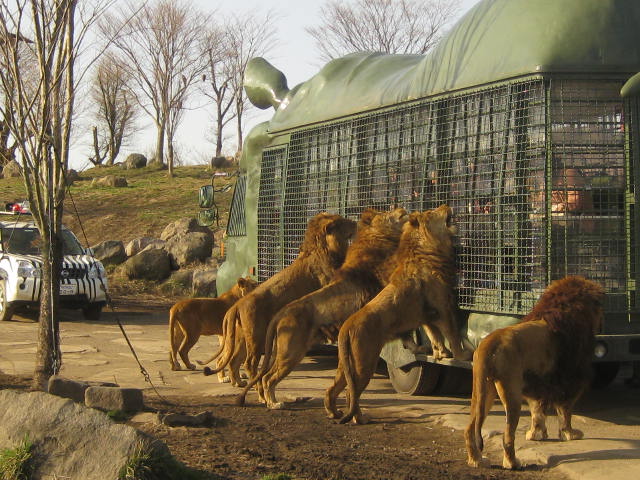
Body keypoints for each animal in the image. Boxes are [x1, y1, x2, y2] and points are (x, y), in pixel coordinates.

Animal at [199, 212, 356, 384]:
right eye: (342, 221)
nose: (355, 222)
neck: (322, 248)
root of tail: (237, 305)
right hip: (257, 336)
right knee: (249, 363)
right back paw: (253, 384)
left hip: (243, 338)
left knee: (233, 361)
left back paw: (239, 383)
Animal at [236, 206, 410, 408]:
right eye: (342, 221)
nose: (401, 208)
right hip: (281, 349)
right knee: (263, 374)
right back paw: (272, 402)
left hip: (278, 349)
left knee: (263, 373)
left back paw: (266, 399)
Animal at [324, 205, 470, 424]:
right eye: (433, 212)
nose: (446, 206)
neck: (425, 251)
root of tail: (346, 327)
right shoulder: (444, 307)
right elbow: (452, 335)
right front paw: (461, 356)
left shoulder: (427, 315)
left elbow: (434, 335)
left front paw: (440, 353)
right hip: (365, 362)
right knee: (352, 392)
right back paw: (359, 419)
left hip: (347, 365)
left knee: (334, 389)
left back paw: (336, 414)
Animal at [464, 276, 604, 470]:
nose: (602, 322)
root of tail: (489, 342)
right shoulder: (570, 380)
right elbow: (565, 411)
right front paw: (569, 434)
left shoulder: (537, 384)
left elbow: (537, 410)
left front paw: (536, 434)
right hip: (511, 391)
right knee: (507, 435)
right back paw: (512, 463)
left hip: (484, 390)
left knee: (469, 429)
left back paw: (476, 460)